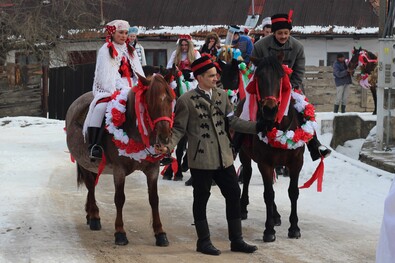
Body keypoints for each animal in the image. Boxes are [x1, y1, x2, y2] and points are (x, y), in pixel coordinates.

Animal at [64, 73, 175, 248]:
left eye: (170, 99)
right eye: (150, 101)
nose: (164, 137)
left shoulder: (153, 170)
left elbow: (154, 199)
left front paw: (160, 233)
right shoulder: (119, 170)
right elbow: (119, 199)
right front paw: (120, 232)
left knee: (91, 185)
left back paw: (90, 214)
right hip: (84, 161)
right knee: (90, 185)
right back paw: (94, 216)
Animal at [237, 53, 310, 243]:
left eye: (281, 77)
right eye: (259, 77)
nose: (270, 109)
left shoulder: (296, 162)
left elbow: (293, 192)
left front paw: (294, 228)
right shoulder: (265, 163)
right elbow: (268, 194)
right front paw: (268, 230)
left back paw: (276, 215)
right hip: (244, 154)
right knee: (247, 174)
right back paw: (243, 207)